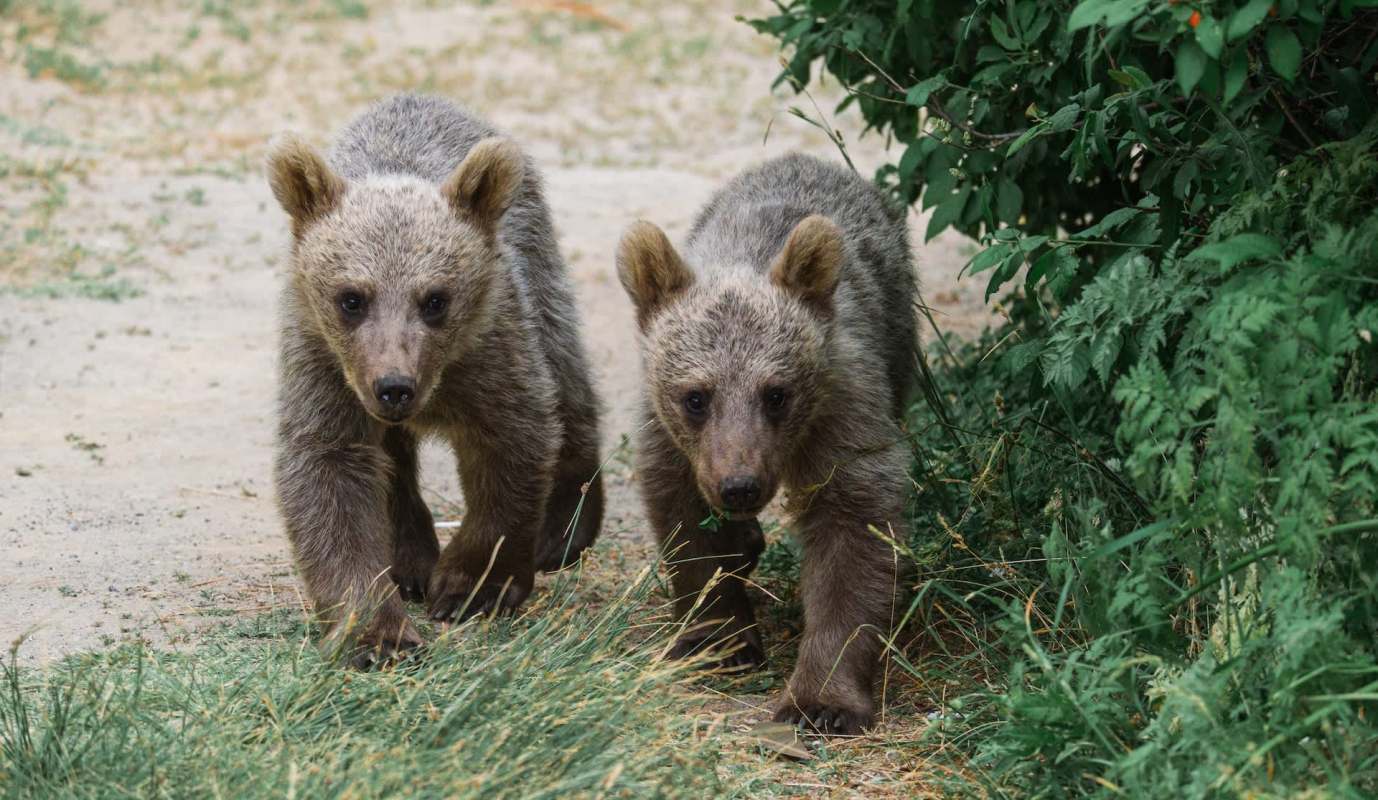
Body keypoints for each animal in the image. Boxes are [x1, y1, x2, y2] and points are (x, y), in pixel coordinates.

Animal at [267, 94, 605, 666]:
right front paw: (378, 634)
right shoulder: (324, 366)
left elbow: (511, 445)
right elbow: (329, 479)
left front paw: (473, 587)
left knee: (566, 371)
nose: (394, 386)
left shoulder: (491, 347)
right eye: (351, 298)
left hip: (538, 267)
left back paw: (566, 526)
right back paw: (409, 560)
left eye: (435, 299)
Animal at [615, 153, 917, 735]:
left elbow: (853, 533)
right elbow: (687, 525)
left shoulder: (843, 409)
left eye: (777, 393)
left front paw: (821, 700)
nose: (740, 486)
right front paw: (717, 639)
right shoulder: (672, 439)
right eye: (696, 396)